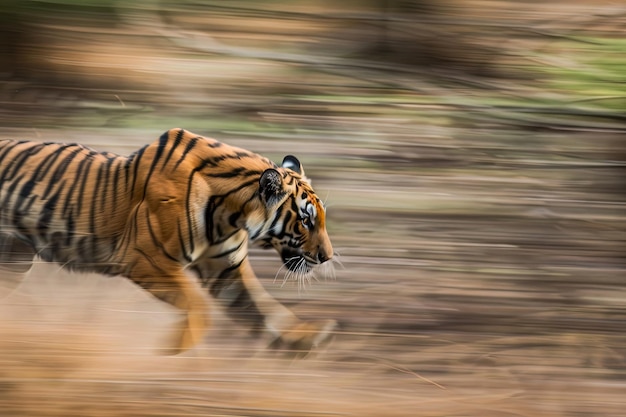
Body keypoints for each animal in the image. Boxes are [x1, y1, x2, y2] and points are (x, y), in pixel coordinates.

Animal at [0, 127, 336, 354]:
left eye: (319, 217)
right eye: (305, 220)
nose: (328, 257)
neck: (231, 215)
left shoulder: (227, 271)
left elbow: (267, 308)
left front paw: (306, 338)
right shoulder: (146, 259)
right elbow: (199, 308)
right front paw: (172, 354)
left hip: (14, 259)